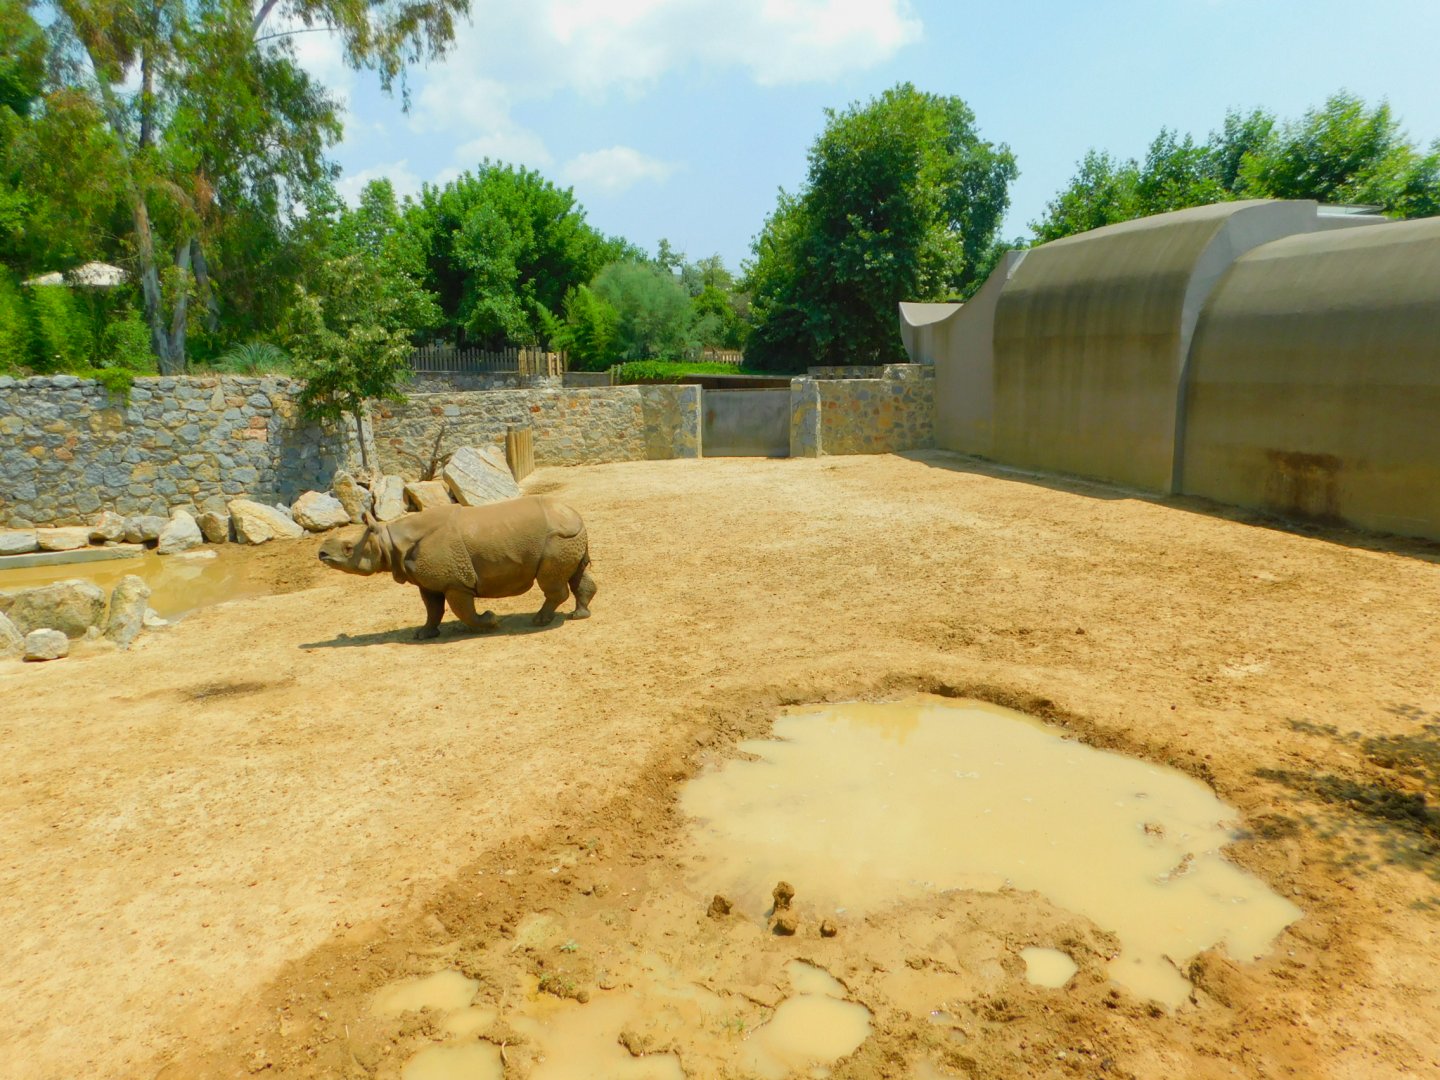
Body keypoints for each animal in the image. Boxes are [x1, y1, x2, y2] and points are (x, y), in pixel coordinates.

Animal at [317, 496, 596, 639]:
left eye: (348, 548)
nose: (321, 553)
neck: (390, 542)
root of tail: (576, 515)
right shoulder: (430, 582)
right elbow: (432, 609)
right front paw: (423, 634)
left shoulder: (456, 583)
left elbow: (463, 611)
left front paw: (490, 621)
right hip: (568, 536)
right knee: (574, 574)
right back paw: (579, 615)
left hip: (558, 538)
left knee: (551, 582)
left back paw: (538, 622)